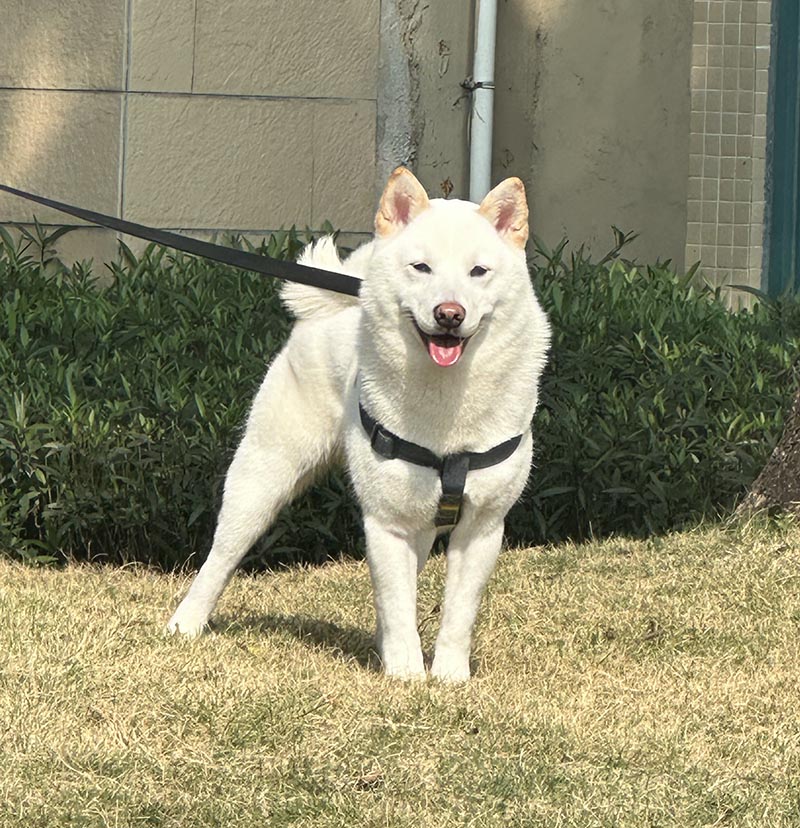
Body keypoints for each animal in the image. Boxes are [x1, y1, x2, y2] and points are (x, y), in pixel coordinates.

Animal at [168, 167, 552, 680]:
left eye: (478, 271)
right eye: (421, 268)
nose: (449, 315)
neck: (446, 405)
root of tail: (345, 298)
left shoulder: (482, 528)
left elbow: (457, 613)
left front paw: (449, 677)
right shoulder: (387, 523)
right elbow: (398, 604)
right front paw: (407, 675)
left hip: (419, 525)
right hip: (262, 480)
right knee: (221, 556)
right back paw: (185, 623)